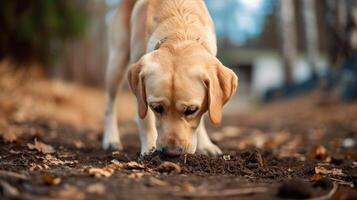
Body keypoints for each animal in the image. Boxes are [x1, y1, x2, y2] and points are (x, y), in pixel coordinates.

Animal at [103, 0, 236, 156]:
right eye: (157, 108)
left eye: (191, 110)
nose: (171, 152)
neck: (179, 31)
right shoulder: (143, 96)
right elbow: (145, 120)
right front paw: (149, 149)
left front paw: (205, 145)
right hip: (117, 62)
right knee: (110, 106)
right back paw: (111, 139)